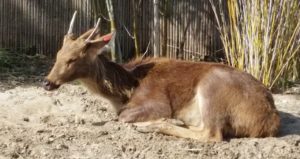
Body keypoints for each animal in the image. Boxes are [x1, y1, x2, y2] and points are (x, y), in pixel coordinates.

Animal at [43, 11, 280, 142]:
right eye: (58, 54)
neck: (126, 89)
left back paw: (157, 124)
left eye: (73, 59)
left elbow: (121, 117)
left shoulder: (157, 102)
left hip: (212, 89)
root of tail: (269, 121)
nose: (47, 82)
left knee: (212, 135)